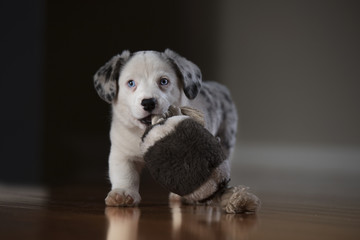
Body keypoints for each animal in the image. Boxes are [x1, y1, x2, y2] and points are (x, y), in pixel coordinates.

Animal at [94, 48, 238, 206]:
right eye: (131, 83)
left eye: (164, 81)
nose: (148, 103)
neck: (144, 132)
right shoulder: (122, 153)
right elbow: (125, 174)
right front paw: (123, 193)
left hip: (226, 140)